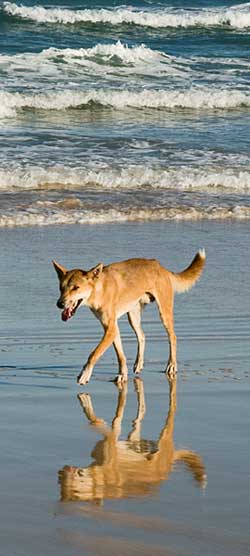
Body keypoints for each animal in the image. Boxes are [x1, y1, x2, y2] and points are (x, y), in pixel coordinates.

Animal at [52, 251, 205, 384]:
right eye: (61, 288)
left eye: (76, 288)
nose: (59, 304)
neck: (99, 290)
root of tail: (160, 266)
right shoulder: (112, 328)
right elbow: (120, 355)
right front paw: (122, 374)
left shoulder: (110, 329)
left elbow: (94, 353)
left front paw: (84, 374)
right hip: (133, 316)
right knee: (142, 335)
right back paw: (139, 363)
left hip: (164, 313)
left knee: (172, 337)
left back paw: (172, 365)